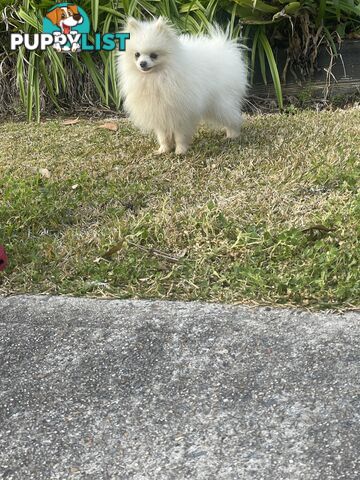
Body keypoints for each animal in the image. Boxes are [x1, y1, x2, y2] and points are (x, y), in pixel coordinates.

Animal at [117, 16, 248, 155]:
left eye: (154, 55)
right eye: (137, 55)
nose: (142, 63)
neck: (157, 77)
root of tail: (225, 49)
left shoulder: (181, 113)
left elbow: (180, 136)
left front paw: (180, 151)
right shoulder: (159, 112)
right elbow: (162, 136)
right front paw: (163, 150)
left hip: (221, 104)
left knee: (233, 118)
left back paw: (233, 135)